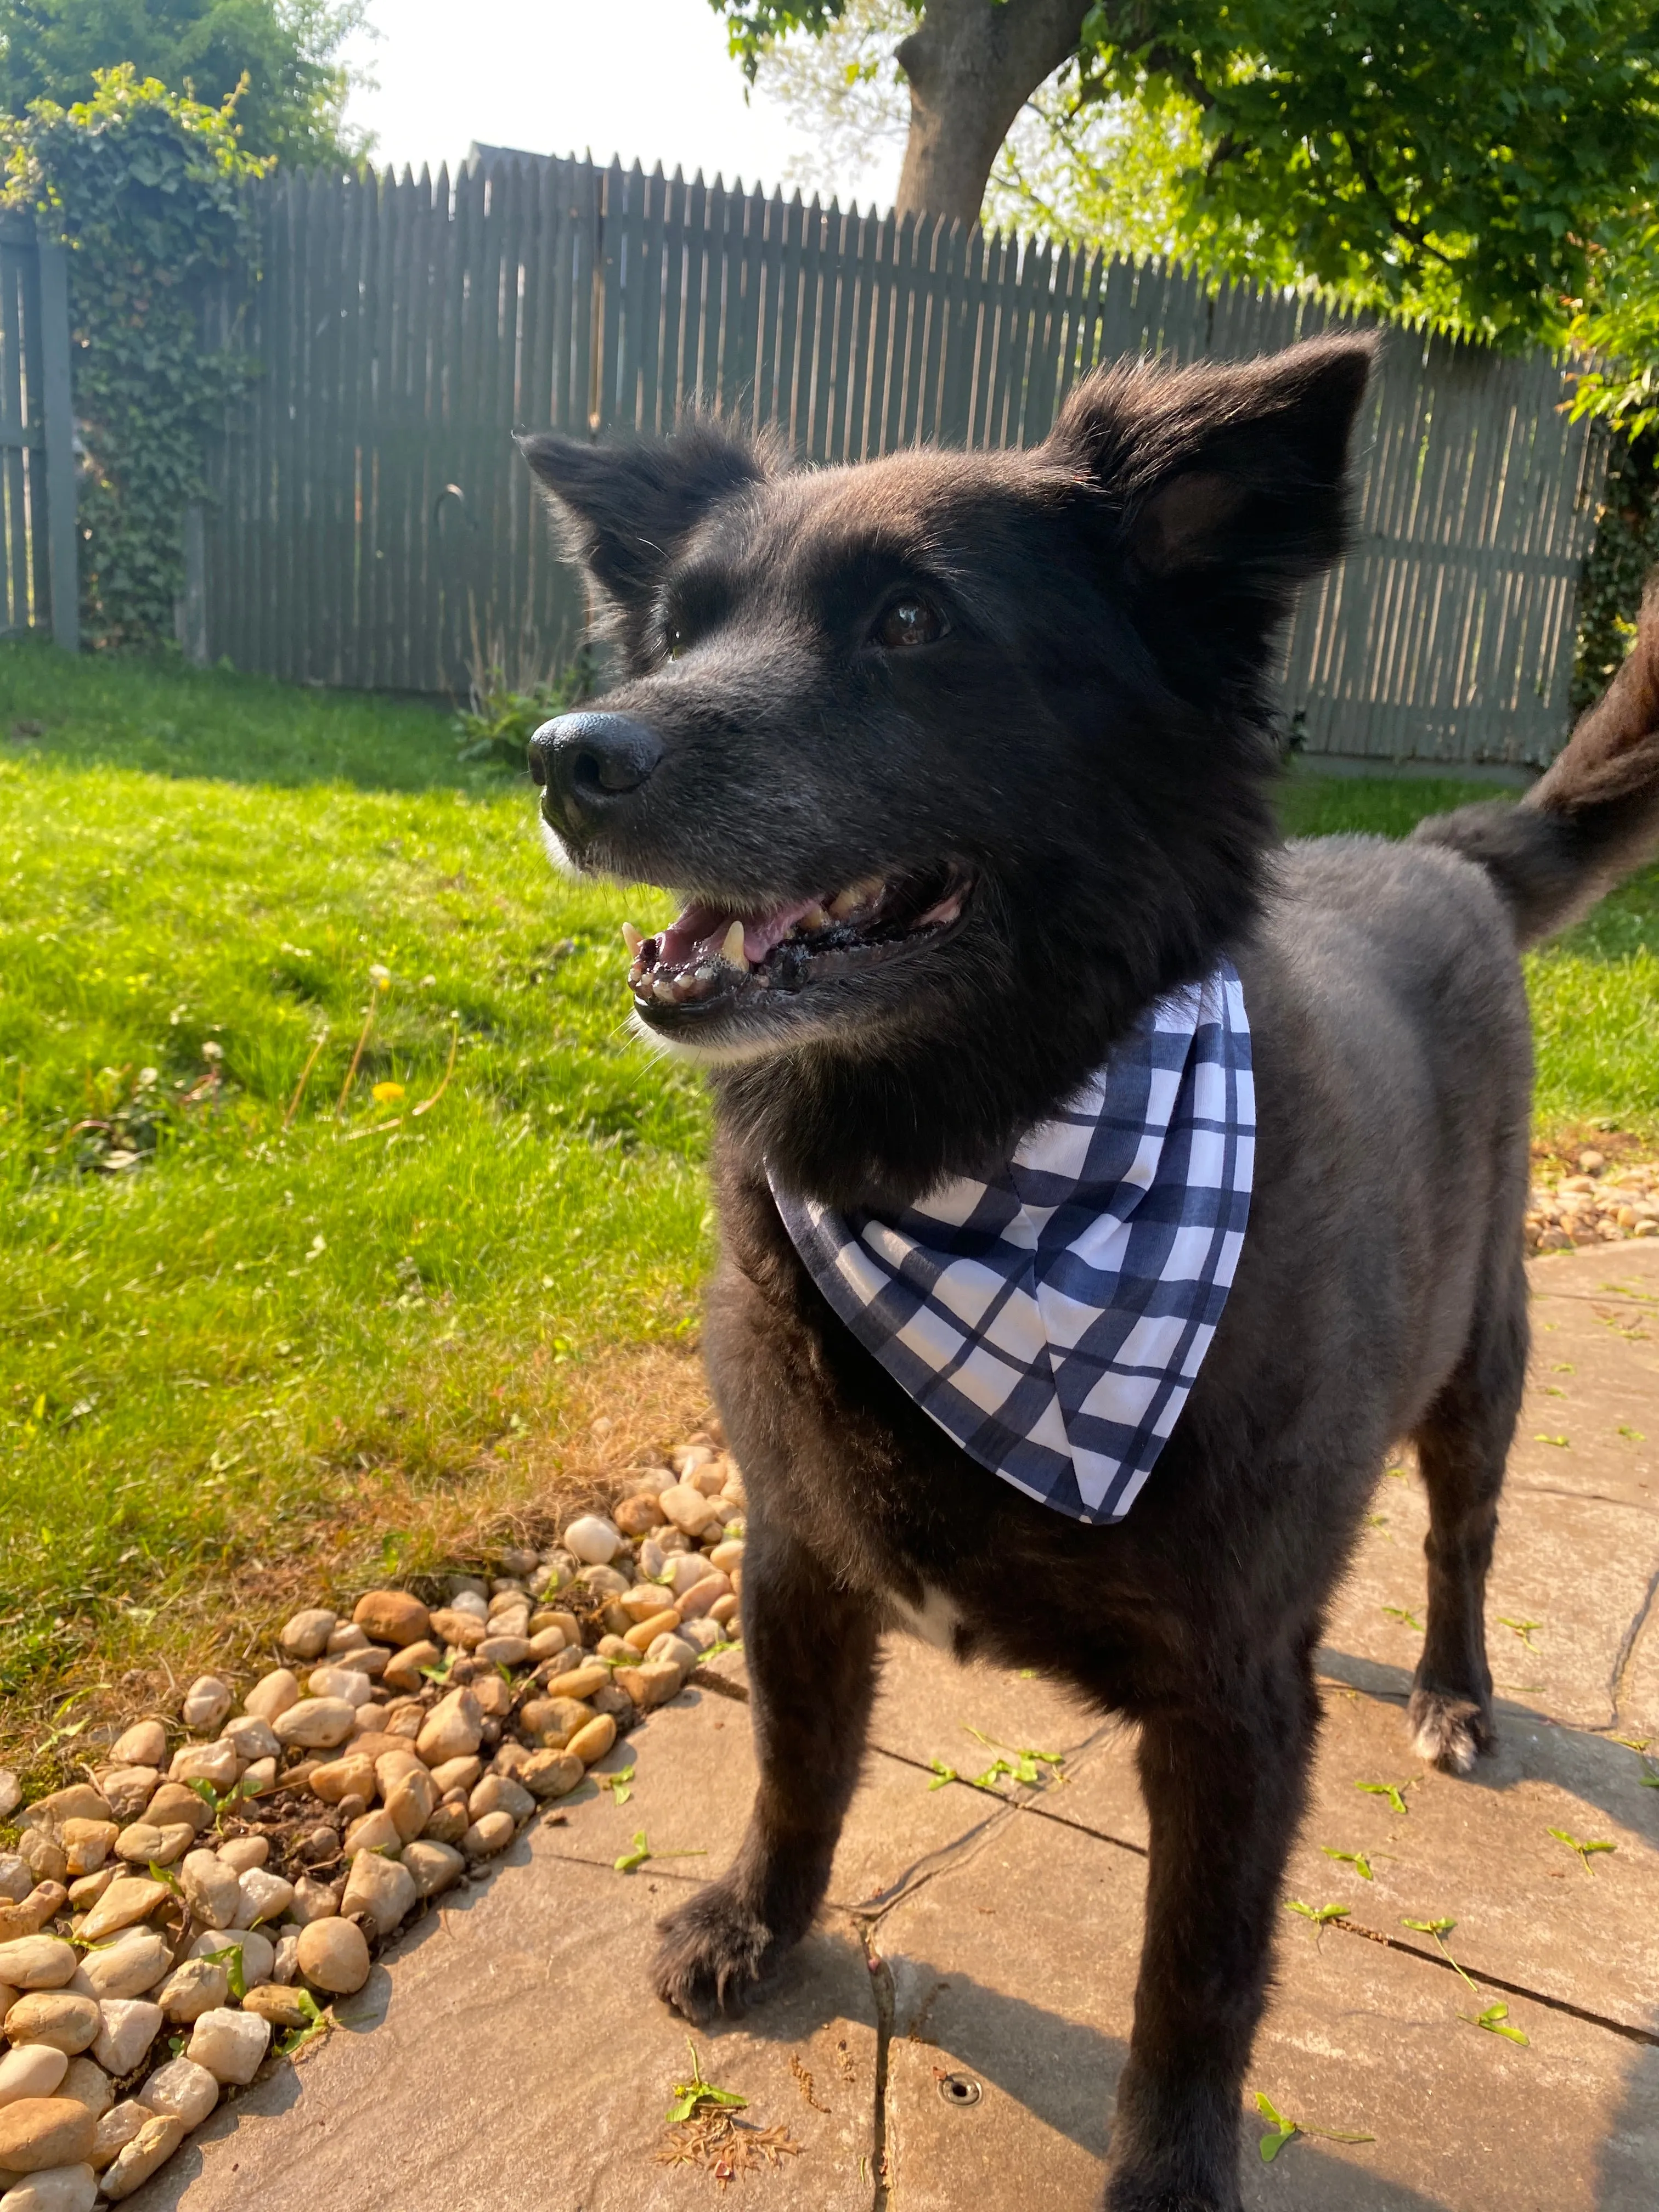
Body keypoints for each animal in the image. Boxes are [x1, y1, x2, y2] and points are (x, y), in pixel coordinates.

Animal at [520, 331, 1659, 2212]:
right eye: (674, 627)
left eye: (914, 622)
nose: (568, 755)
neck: (972, 1177)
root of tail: (1438, 851)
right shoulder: (796, 1561)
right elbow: (794, 1773)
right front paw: (759, 1924)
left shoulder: (1234, 1706)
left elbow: (1195, 1978)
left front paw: (1171, 2180)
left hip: (1485, 1366)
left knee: (1460, 1543)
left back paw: (1453, 1693)